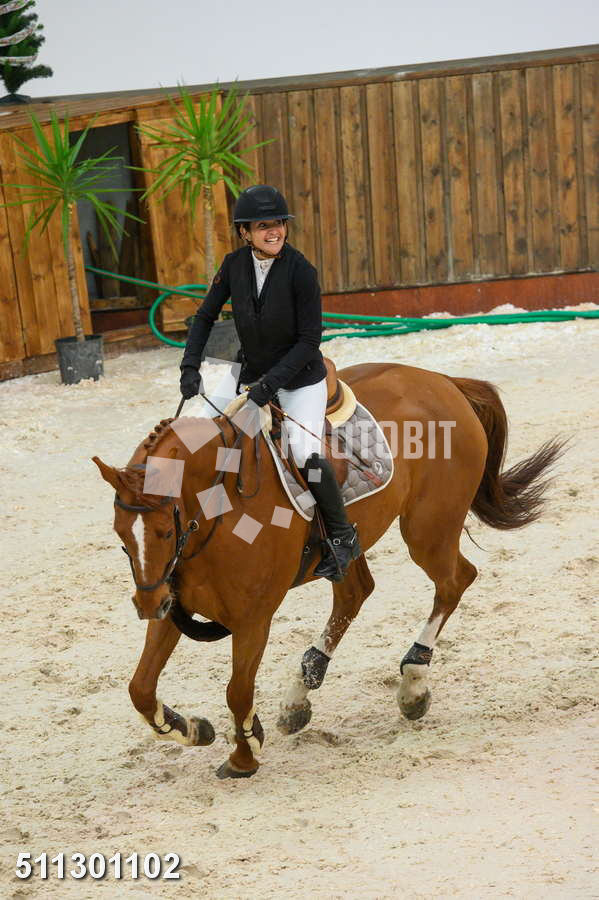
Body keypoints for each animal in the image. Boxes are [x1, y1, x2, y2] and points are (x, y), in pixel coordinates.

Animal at [93, 361, 563, 779]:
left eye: (163, 531)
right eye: (121, 537)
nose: (147, 605)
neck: (215, 509)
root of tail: (443, 381)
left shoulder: (253, 619)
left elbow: (238, 690)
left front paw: (244, 756)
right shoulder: (174, 604)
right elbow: (140, 688)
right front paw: (192, 729)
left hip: (428, 531)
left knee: (454, 581)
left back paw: (412, 682)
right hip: (354, 543)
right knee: (356, 592)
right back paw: (300, 695)